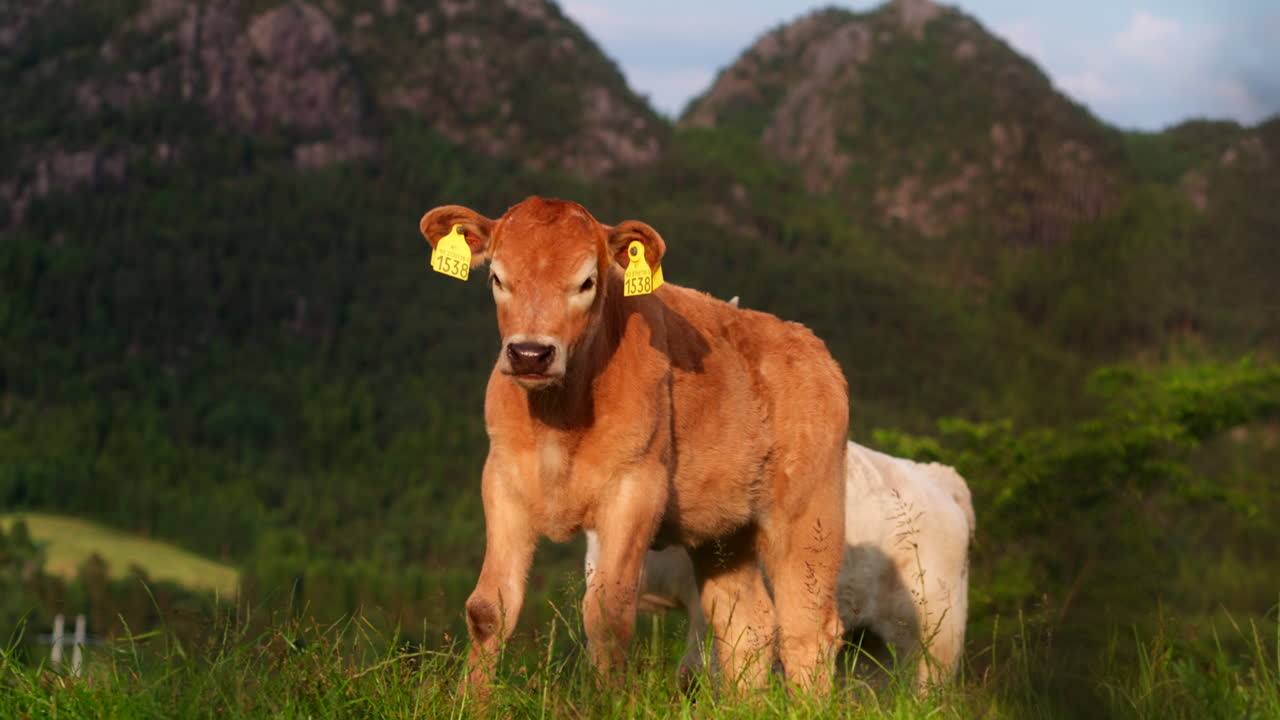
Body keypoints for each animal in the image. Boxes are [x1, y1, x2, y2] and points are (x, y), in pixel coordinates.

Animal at [419, 197, 849, 696]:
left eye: (587, 281)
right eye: (497, 278)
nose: (529, 354)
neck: (558, 425)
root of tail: (809, 345)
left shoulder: (635, 489)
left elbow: (607, 615)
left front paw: (605, 702)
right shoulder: (503, 482)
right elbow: (489, 609)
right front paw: (470, 702)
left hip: (809, 514)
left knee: (808, 628)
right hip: (724, 530)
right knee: (747, 623)